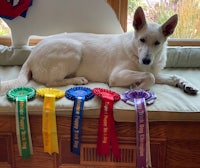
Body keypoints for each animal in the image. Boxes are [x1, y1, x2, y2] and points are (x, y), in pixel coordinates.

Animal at [0, 6, 198, 94]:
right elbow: (150, 77)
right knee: (51, 82)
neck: (136, 50)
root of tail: (30, 56)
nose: (146, 61)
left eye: (157, 43)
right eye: (142, 40)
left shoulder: (155, 70)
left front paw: (185, 84)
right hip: (74, 49)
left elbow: (169, 76)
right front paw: (137, 86)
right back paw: (77, 79)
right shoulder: (117, 75)